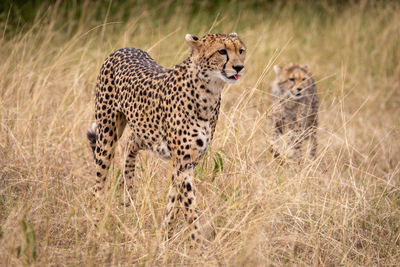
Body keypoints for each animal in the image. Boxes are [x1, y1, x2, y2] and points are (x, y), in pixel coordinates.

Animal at [86, 32, 247, 246]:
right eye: (222, 51)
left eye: (241, 51)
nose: (239, 67)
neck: (209, 91)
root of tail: (124, 48)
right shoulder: (183, 163)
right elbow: (189, 207)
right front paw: (197, 244)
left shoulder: (187, 162)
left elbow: (175, 200)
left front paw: (165, 236)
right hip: (108, 133)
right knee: (99, 180)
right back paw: (95, 225)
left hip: (144, 132)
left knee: (130, 144)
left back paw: (128, 193)